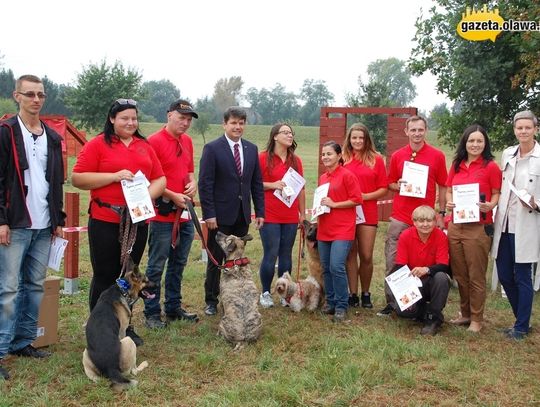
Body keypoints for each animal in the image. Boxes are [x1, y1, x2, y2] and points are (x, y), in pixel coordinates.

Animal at [83, 262, 156, 392]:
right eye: (146, 280)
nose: (158, 285)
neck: (123, 290)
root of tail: (110, 368)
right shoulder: (122, 331)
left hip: (85, 354)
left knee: (97, 379)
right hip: (129, 341)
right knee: (134, 371)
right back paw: (144, 364)